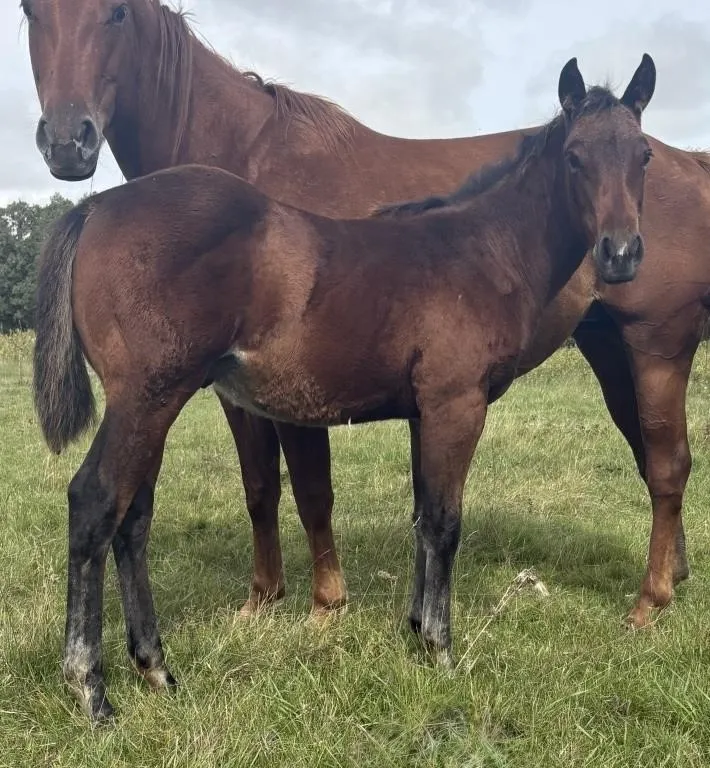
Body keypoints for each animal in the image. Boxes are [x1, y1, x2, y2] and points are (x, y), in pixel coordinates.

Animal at [24, 0, 710, 628]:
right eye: (31, 12)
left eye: (116, 14)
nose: (67, 142)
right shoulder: (257, 393)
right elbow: (270, 487)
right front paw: (271, 598)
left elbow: (321, 491)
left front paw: (326, 603)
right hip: (611, 349)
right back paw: (669, 578)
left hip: (655, 345)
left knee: (668, 463)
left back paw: (652, 597)